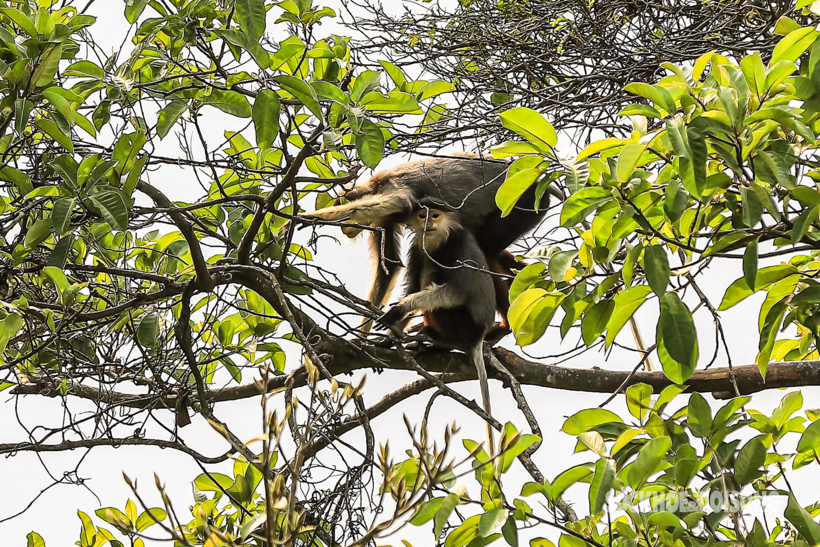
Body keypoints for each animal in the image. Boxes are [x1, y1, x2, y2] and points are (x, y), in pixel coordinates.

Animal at [298, 154, 548, 334]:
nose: (345, 229)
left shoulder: (388, 188)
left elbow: (400, 200)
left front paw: (311, 217)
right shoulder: (383, 221)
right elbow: (390, 265)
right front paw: (362, 338)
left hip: (525, 203)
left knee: (485, 251)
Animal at [374, 203, 496, 456]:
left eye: (436, 214)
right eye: (423, 215)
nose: (429, 221)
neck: (436, 240)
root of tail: (478, 338)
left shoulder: (456, 246)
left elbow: (457, 292)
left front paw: (401, 308)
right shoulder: (416, 250)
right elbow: (412, 285)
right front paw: (388, 339)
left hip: (465, 327)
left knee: (439, 281)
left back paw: (439, 339)